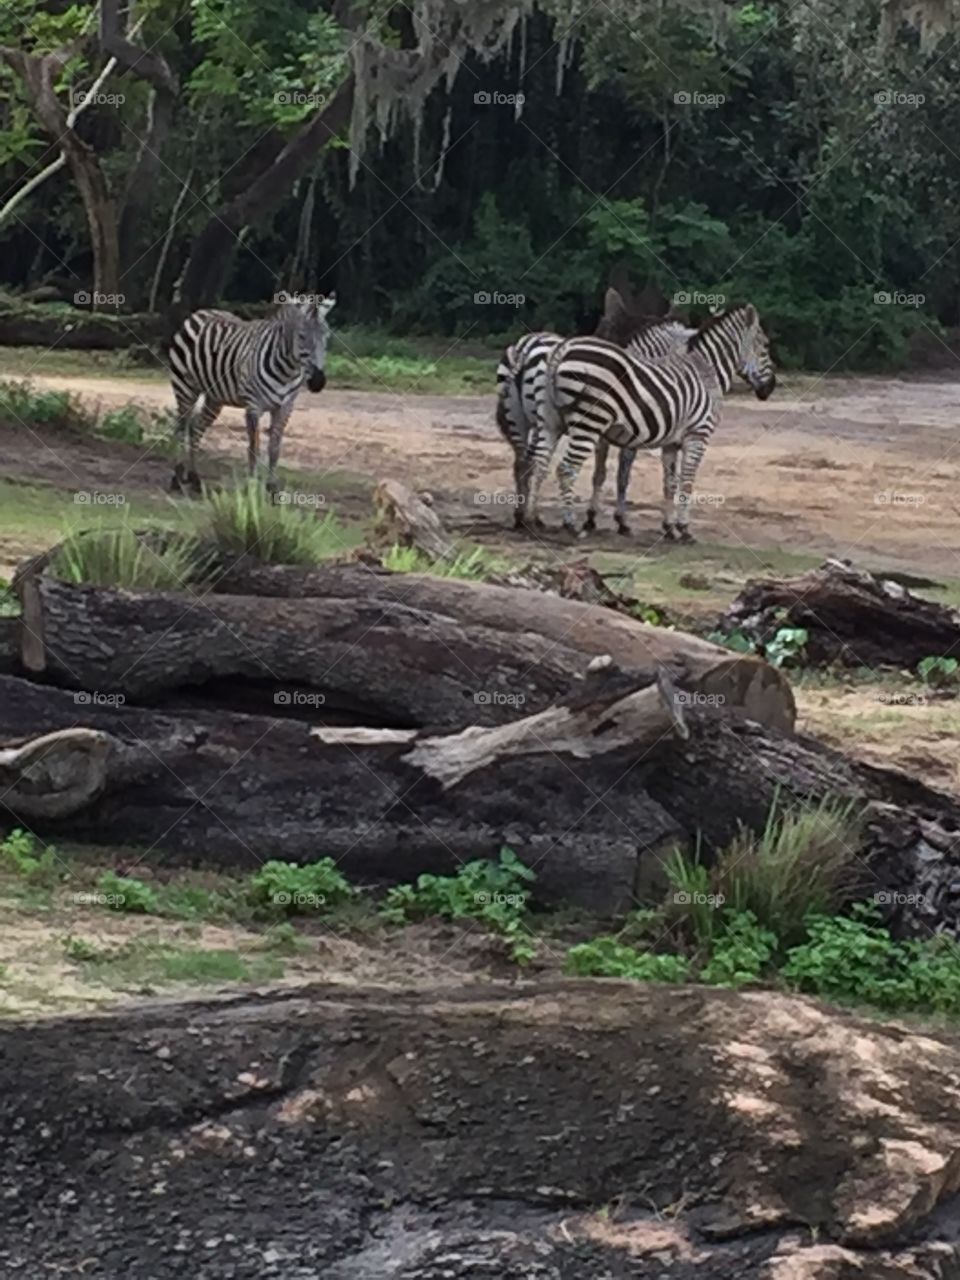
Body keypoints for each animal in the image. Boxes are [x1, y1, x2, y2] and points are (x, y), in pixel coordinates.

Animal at [167, 294, 336, 494]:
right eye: (301, 336)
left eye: (326, 336)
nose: (318, 382)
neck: (287, 372)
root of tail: (200, 312)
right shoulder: (254, 407)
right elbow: (254, 447)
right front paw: (252, 486)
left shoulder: (285, 408)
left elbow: (274, 447)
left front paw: (272, 487)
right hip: (185, 387)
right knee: (181, 427)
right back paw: (177, 478)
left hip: (215, 397)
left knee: (196, 428)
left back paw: (195, 478)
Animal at [496, 317, 694, 530]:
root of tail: (525, 346)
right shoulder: (623, 436)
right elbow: (617, 475)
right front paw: (615, 519)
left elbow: (602, 473)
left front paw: (595, 517)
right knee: (534, 462)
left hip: (520, 418)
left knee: (524, 462)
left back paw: (521, 515)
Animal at [528, 304, 775, 542]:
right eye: (765, 346)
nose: (771, 387)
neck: (707, 371)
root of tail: (563, 349)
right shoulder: (698, 435)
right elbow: (686, 481)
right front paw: (684, 529)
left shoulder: (671, 443)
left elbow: (669, 483)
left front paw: (669, 529)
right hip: (589, 423)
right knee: (566, 469)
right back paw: (570, 525)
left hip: (551, 421)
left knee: (540, 464)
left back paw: (532, 519)